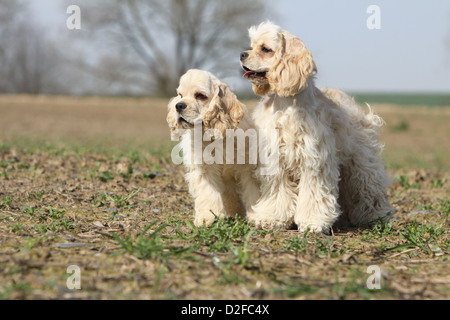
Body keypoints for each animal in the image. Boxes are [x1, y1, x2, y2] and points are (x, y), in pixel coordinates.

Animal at [167, 69, 260, 226]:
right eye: (180, 95)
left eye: (200, 95)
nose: (178, 105)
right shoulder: (204, 169)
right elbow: (208, 194)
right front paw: (208, 218)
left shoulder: (247, 168)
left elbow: (253, 192)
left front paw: (257, 214)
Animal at [241, 21, 392, 232]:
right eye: (252, 46)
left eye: (265, 49)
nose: (242, 54)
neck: (285, 102)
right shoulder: (273, 158)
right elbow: (278, 192)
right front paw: (272, 218)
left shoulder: (314, 159)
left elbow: (313, 194)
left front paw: (313, 222)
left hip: (361, 162)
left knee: (369, 187)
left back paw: (376, 216)